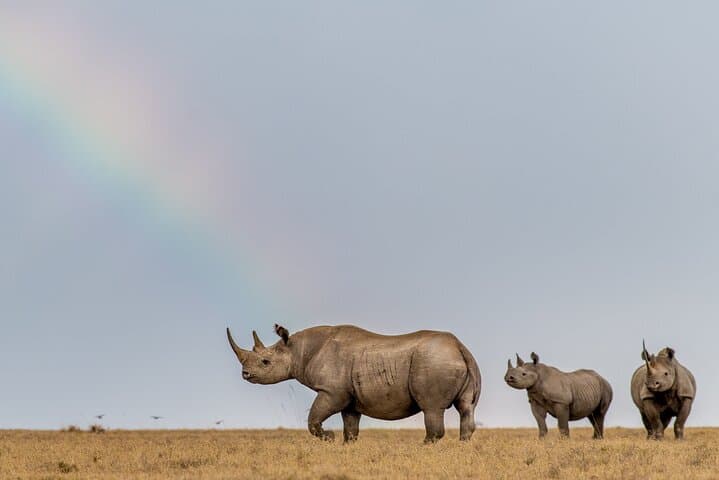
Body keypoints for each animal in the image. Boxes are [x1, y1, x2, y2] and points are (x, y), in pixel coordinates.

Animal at [227, 324, 481, 443]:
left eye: (265, 362)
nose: (245, 374)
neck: (298, 350)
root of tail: (460, 347)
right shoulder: (350, 399)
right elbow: (350, 429)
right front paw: (345, 446)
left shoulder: (332, 391)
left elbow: (313, 420)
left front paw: (329, 437)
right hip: (454, 361)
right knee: (466, 408)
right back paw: (462, 446)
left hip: (434, 361)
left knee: (432, 408)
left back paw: (423, 447)